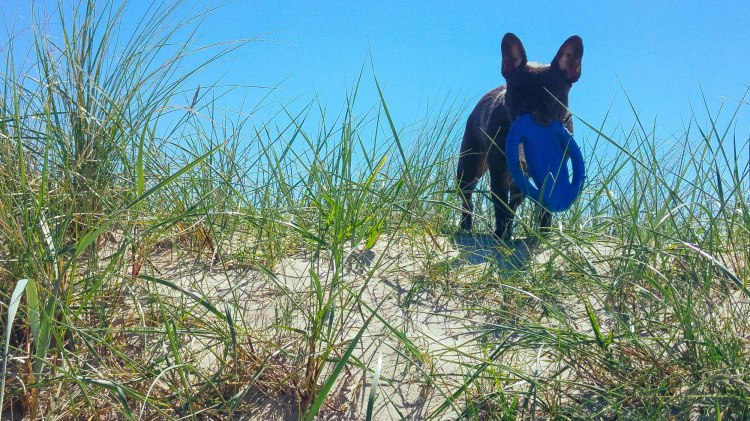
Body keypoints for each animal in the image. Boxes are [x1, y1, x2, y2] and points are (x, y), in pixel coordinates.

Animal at [456, 32, 584, 240]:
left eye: (552, 95)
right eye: (515, 92)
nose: (531, 108)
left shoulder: (552, 171)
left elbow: (544, 206)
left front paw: (543, 233)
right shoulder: (499, 169)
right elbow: (500, 202)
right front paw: (500, 233)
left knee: (515, 202)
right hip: (470, 166)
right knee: (467, 197)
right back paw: (467, 226)